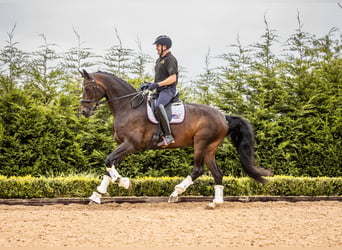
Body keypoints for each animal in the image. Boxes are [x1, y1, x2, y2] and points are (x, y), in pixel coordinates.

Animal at [79, 69, 272, 206]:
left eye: (87, 88)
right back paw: (216, 202)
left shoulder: (130, 144)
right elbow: (109, 166)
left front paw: (124, 183)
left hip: (201, 143)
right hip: (210, 148)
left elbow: (108, 161)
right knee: (217, 172)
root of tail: (223, 116)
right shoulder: (122, 145)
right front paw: (96, 196)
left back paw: (176, 193)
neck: (128, 107)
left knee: (198, 170)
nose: (84, 111)